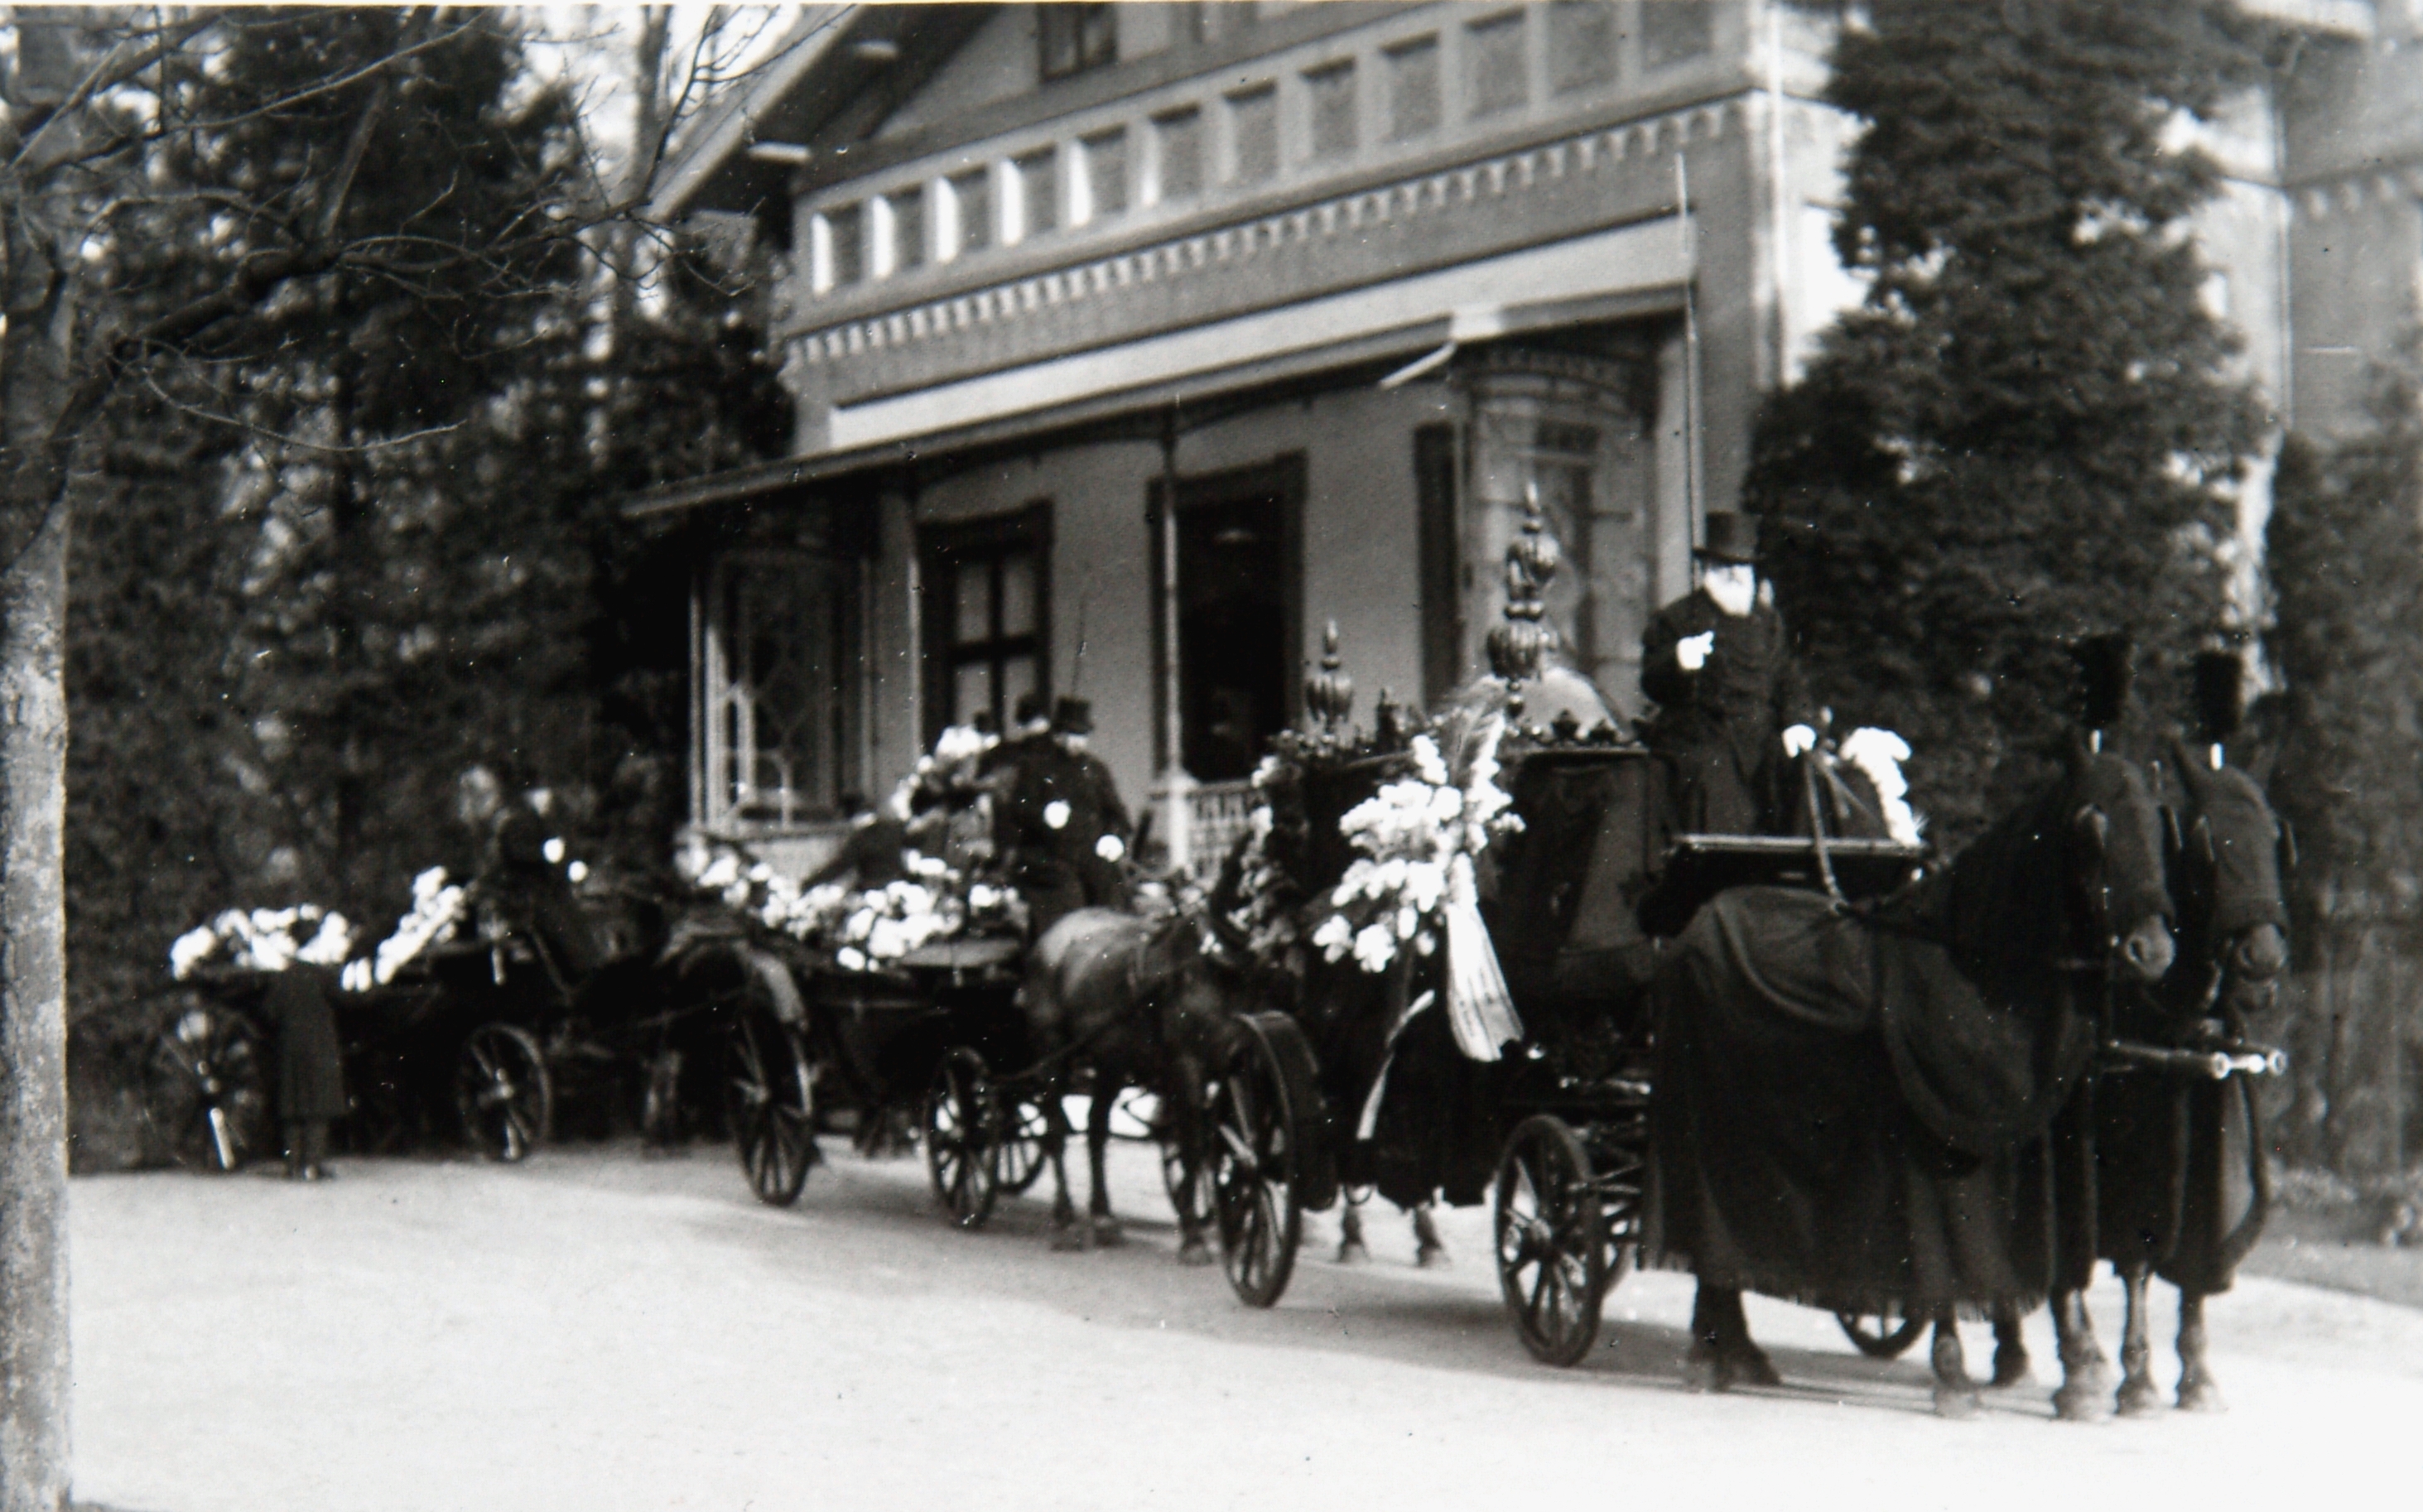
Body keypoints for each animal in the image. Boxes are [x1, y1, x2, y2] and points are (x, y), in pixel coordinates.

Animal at [1018, 905, 1241, 1260]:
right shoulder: (1186, 1068)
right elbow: (1192, 1145)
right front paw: (1194, 1238)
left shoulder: (1228, 1067)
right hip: (1053, 1054)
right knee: (1055, 1130)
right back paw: (1065, 1222)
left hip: (1111, 1064)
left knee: (1096, 1129)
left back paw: (1103, 1218)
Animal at [1648, 736, 2177, 1418]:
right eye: (2096, 827)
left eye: (2159, 831)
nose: (2153, 952)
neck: (1977, 972)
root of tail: (1697, 923)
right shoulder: (1930, 1169)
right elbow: (1940, 1265)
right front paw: (1953, 1377)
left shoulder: (2045, 1158)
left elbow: (2062, 1270)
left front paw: (2082, 1376)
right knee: (1705, 1239)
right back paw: (1706, 1356)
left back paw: (1737, 1351)